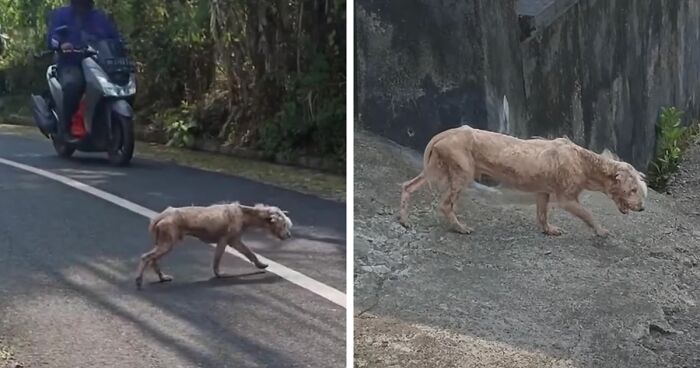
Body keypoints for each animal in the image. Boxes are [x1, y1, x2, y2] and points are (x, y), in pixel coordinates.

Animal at [135, 203, 292, 288]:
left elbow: (250, 253)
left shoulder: (235, 241)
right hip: (168, 243)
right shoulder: (225, 240)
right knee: (146, 257)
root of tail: (160, 216)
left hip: (164, 242)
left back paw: (162, 277)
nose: (289, 235)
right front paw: (220, 274)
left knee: (153, 260)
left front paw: (261, 265)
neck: (245, 214)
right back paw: (139, 279)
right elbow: (217, 260)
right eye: (284, 224)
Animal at [396, 126, 648, 236]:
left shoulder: (543, 191)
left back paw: (404, 220)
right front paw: (601, 231)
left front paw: (548, 230)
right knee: (445, 204)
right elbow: (588, 214)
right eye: (633, 190)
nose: (642, 208)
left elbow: (542, 213)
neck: (585, 163)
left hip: (436, 168)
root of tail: (445, 133)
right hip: (462, 172)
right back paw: (460, 227)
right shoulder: (566, 198)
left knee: (408, 186)